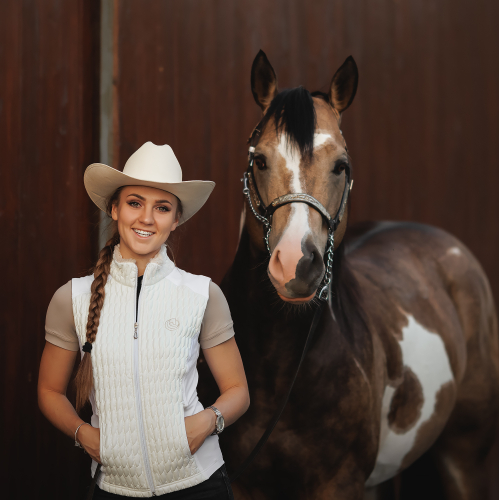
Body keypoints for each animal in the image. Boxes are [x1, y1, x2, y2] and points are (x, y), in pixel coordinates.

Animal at [198, 51, 496, 500]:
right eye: (259, 160)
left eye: (341, 166)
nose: (296, 265)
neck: (279, 372)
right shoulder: (246, 484)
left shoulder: (340, 484)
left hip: (467, 455)